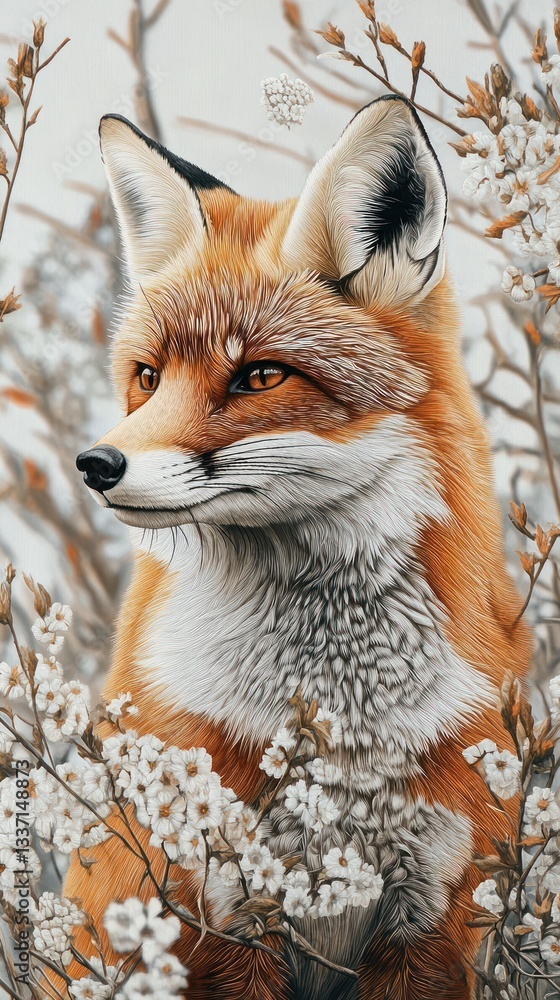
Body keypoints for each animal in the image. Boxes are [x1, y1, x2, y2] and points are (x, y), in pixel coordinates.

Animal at [59, 96, 530, 1000]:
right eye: (147, 377)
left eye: (261, 378)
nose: (96, 466)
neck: (340, 733)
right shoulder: (225, 917)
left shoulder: (434, 925)